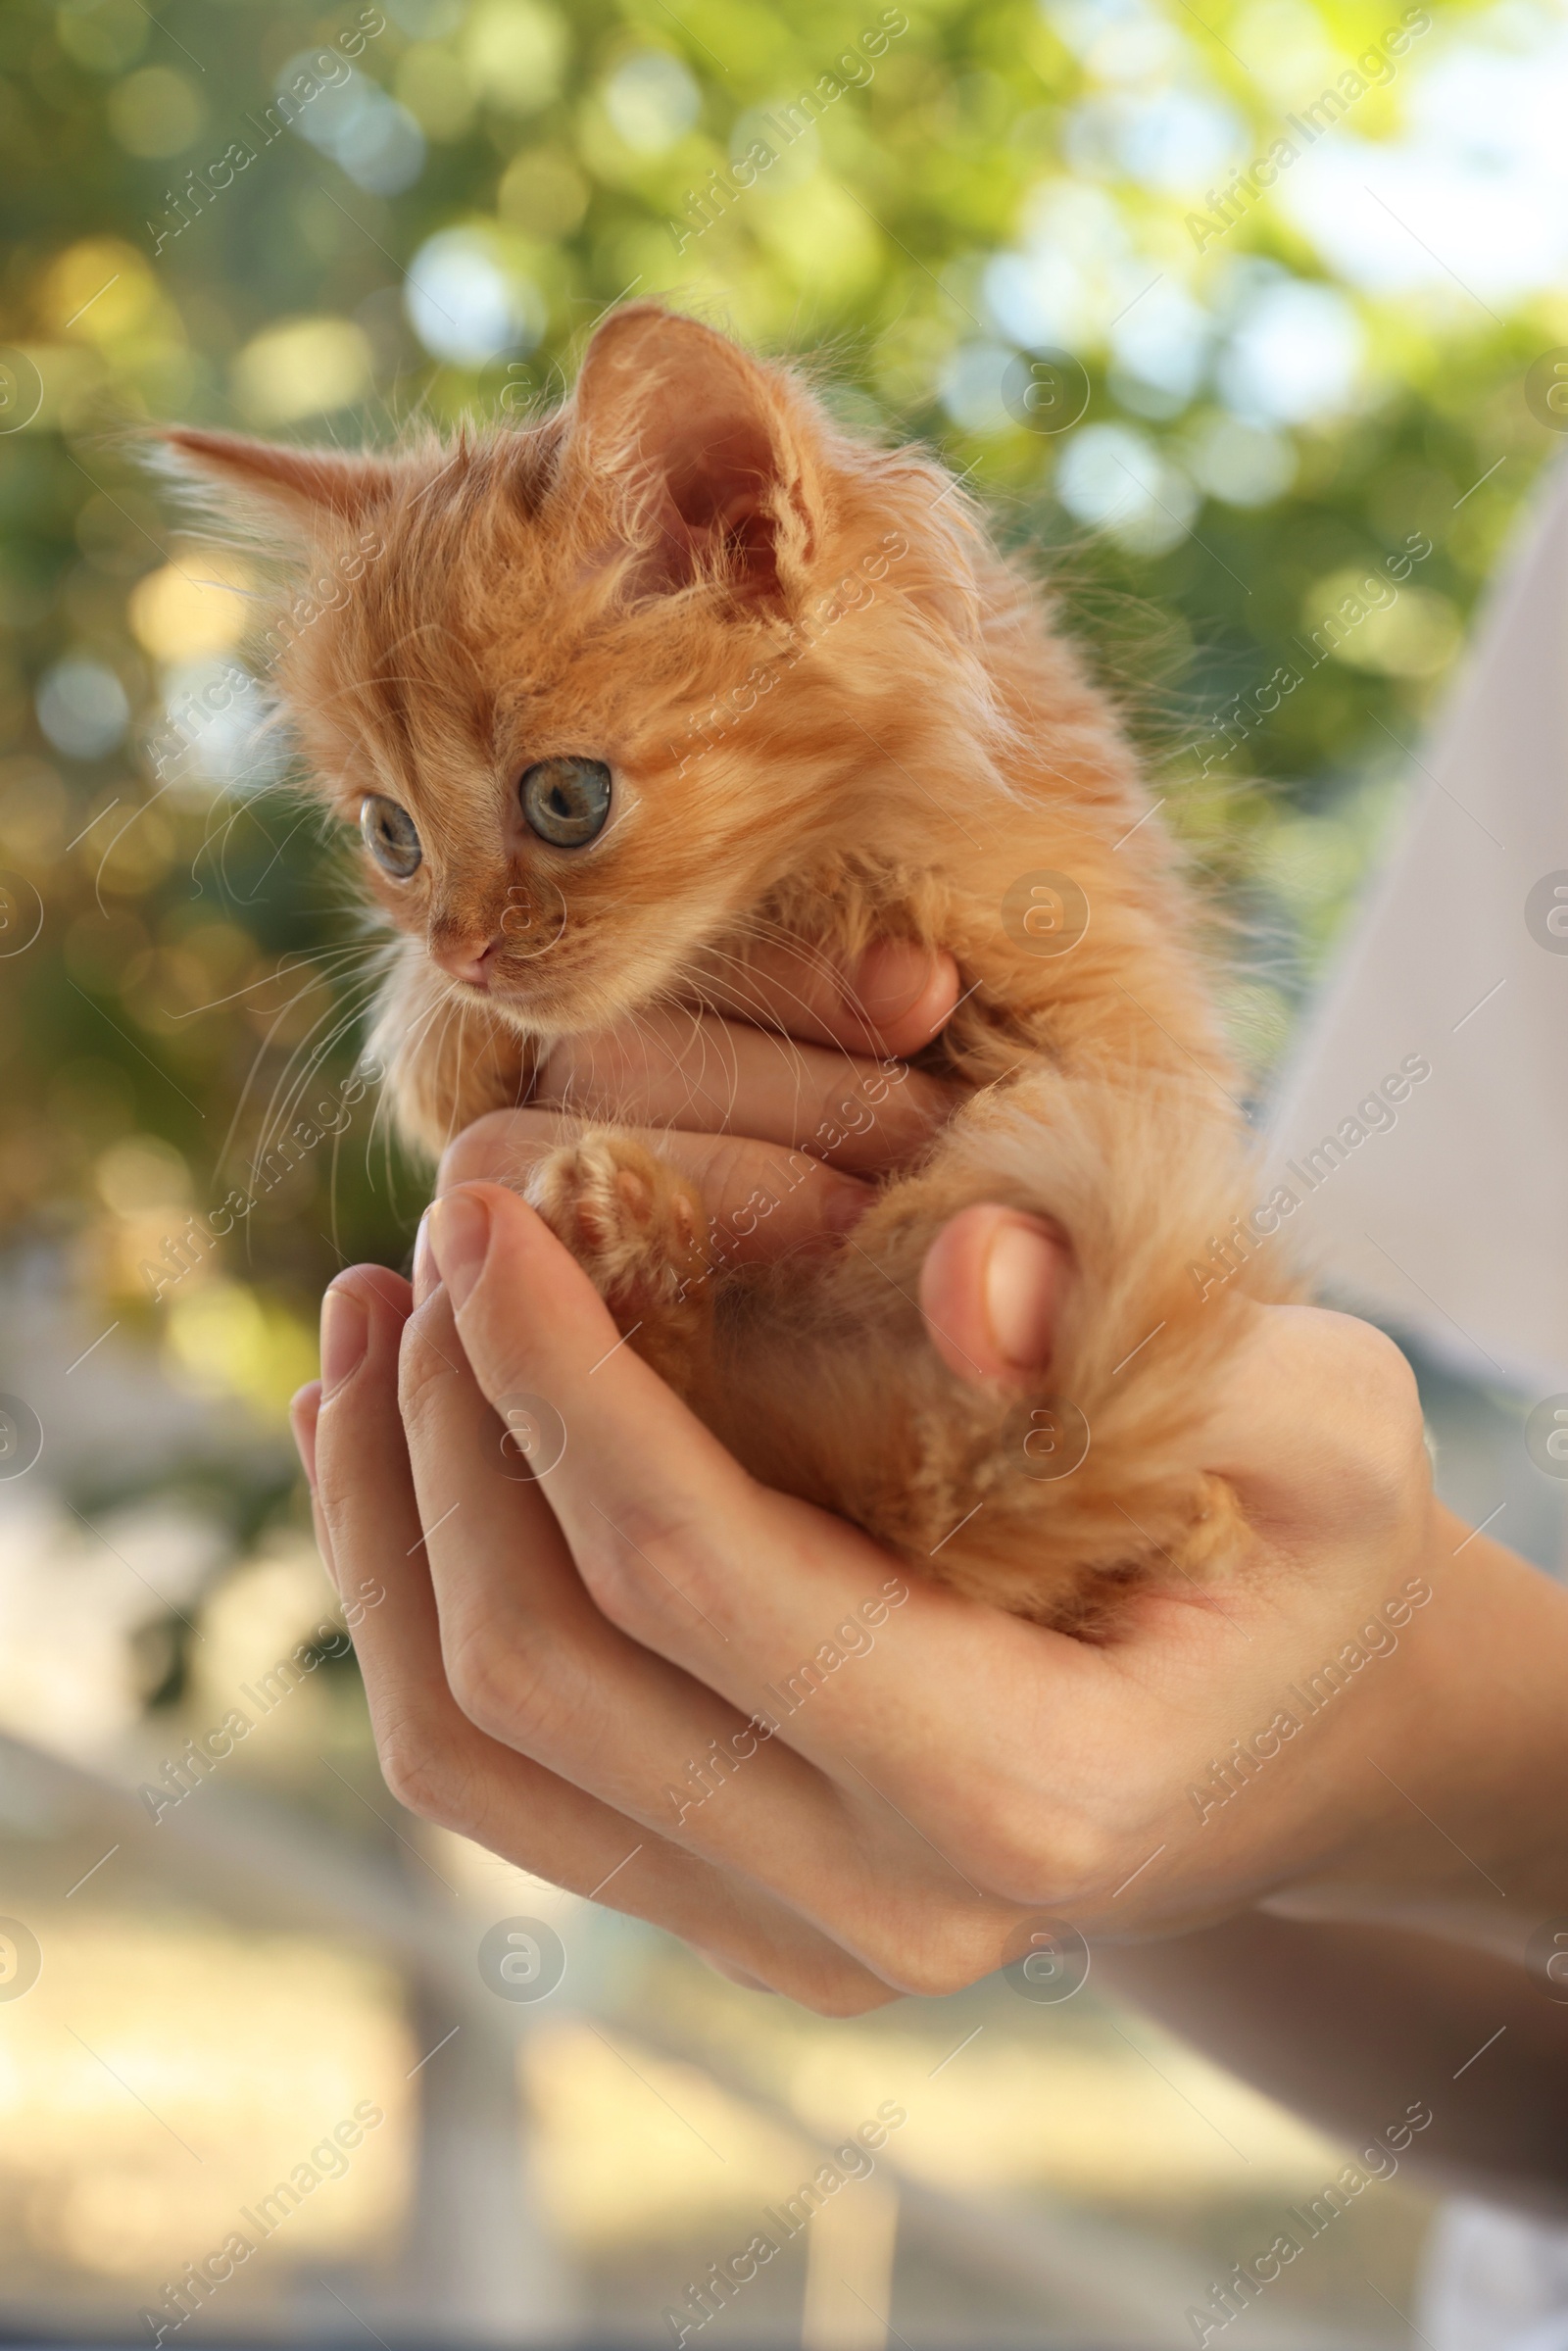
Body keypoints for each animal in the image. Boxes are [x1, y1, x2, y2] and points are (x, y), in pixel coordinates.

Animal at [162, 303, 1288, 1627]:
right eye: (392, 834)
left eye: (565, 799)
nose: (461, 950)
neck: (836, 863)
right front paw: (439, 1029)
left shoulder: (1126, 1030)